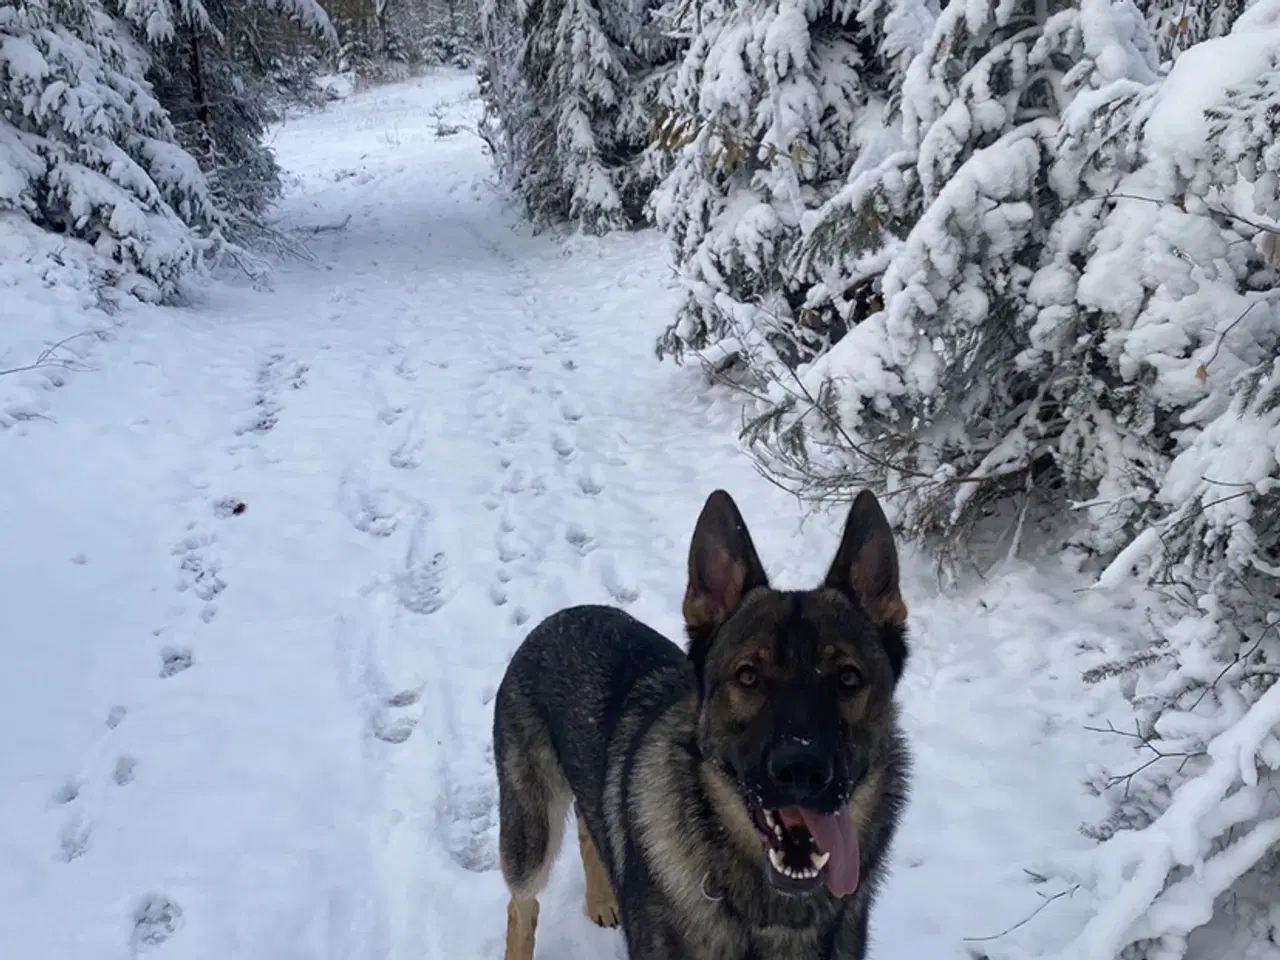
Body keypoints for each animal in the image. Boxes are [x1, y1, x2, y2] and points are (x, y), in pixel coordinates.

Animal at [491, 491, 911, 957]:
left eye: (848, 678)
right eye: (747, 676)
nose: (801, 770)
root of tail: (557, 618)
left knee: (588, 824)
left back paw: (602, 899)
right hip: (530, 831)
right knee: (522, 903)